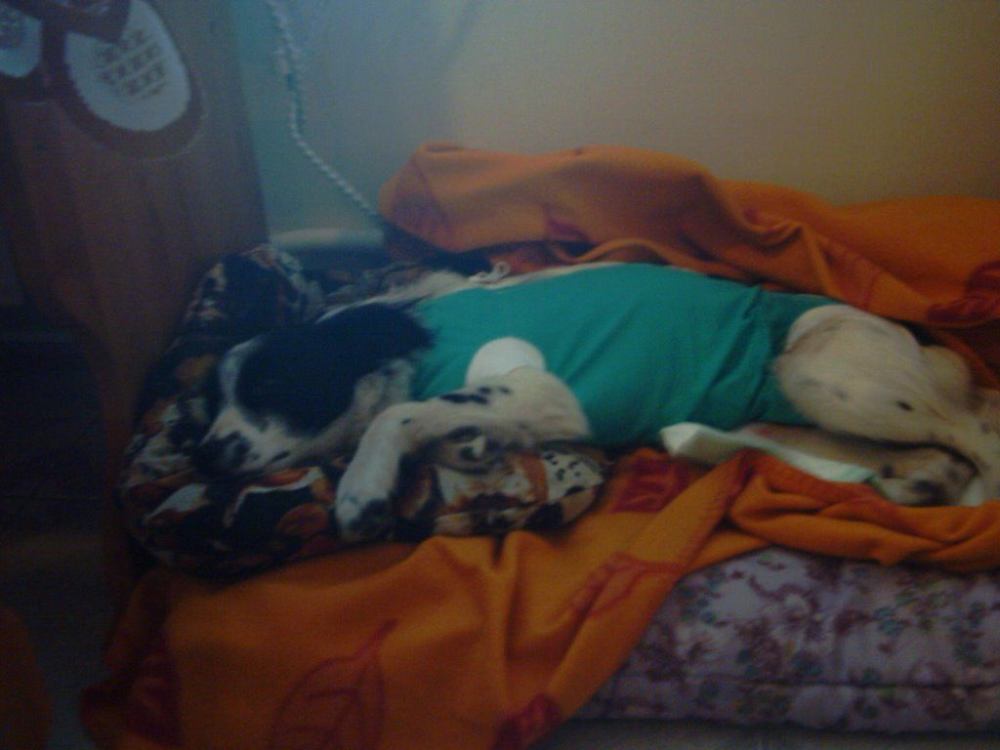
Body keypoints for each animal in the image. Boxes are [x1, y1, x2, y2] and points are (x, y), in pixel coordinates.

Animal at [194, 262, 1000, 540]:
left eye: (273, 386)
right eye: (209, 404)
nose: (204, 453)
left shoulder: (529, 387)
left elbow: (395, 418)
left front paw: (360, 490)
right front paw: (468, 447)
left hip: (818, 375)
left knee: (979, 434)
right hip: (791, 413)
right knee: (929, 453)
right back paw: (920, 481)